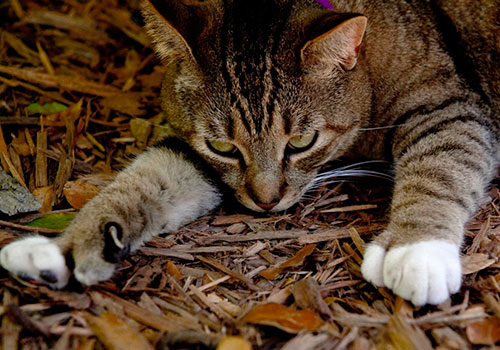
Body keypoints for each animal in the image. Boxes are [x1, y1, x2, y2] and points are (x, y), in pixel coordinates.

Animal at [1, 0, 498, 306]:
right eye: (223, 146)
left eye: (301, 143)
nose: (265, 201)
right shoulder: (195, 154)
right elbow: (147, 178)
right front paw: (65, 247)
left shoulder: (449, 108)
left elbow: (440, 167)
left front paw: (417, 250)